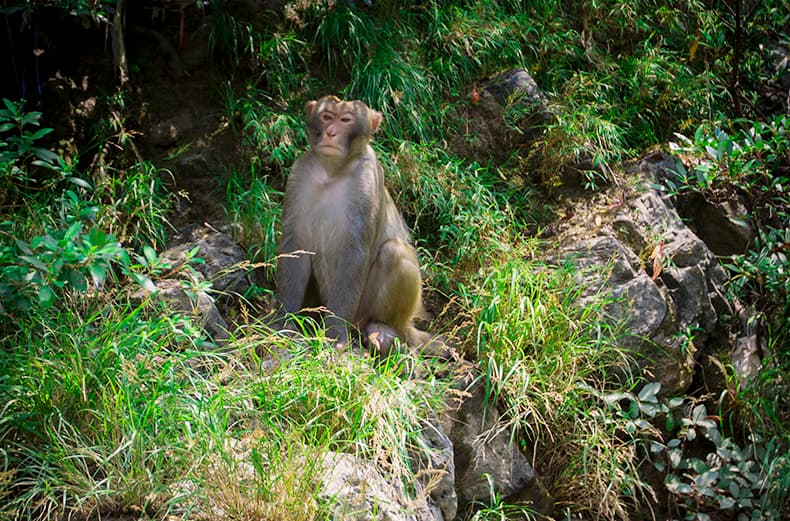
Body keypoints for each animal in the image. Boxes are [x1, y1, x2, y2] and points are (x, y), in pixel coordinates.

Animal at [276, 93, 436, 354]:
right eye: (327, 116)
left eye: (345, 120)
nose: (331, 132)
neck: (331, 172)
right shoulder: (299, 173)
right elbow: (295, 245)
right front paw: (283, 321)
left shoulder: (366, 179)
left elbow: (355, 251)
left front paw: (335, 333)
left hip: (368, 308)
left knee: (394, 251)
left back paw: (380, 326)